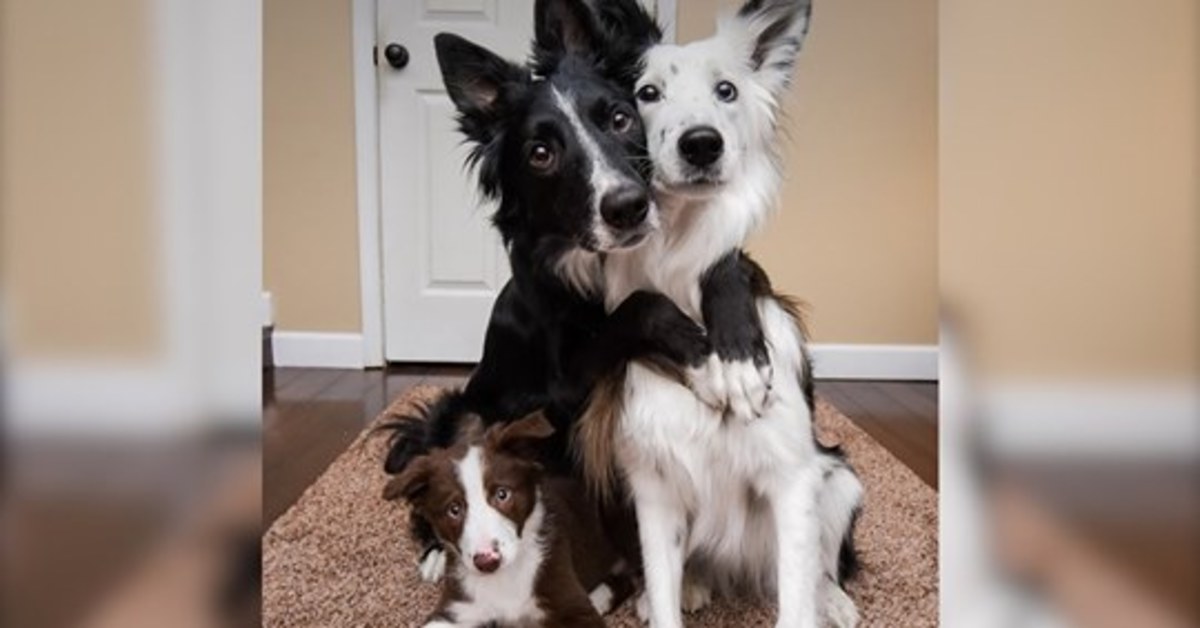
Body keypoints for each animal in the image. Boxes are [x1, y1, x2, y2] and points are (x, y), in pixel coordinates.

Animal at [576, 1, 868, 628]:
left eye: (726, 90)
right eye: (647, 92)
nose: (701, 144)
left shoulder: (792, 479)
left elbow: (796, 600)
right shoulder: (654, 491)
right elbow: (663, 593)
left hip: (838, 480)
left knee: (821, 562)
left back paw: (832, 597)